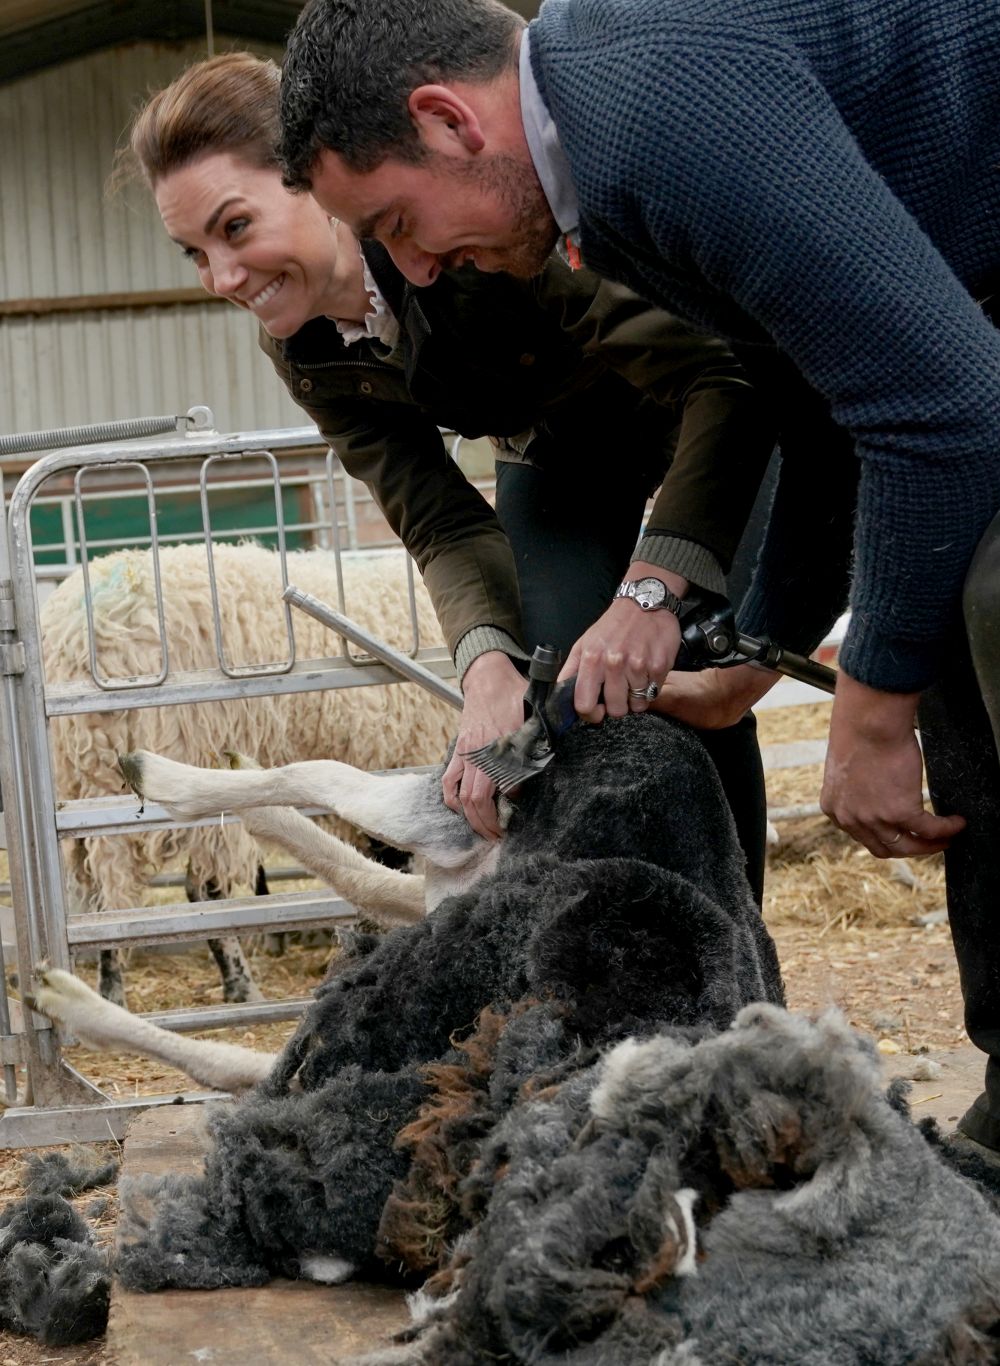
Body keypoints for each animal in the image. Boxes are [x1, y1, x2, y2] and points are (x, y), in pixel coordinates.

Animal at [40, 540, 456, 1005]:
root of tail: (79, 632)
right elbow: (393, 862)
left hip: (83, 781)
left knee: (101, 898)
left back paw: (108, 987)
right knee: (200, 891)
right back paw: (237, 984)